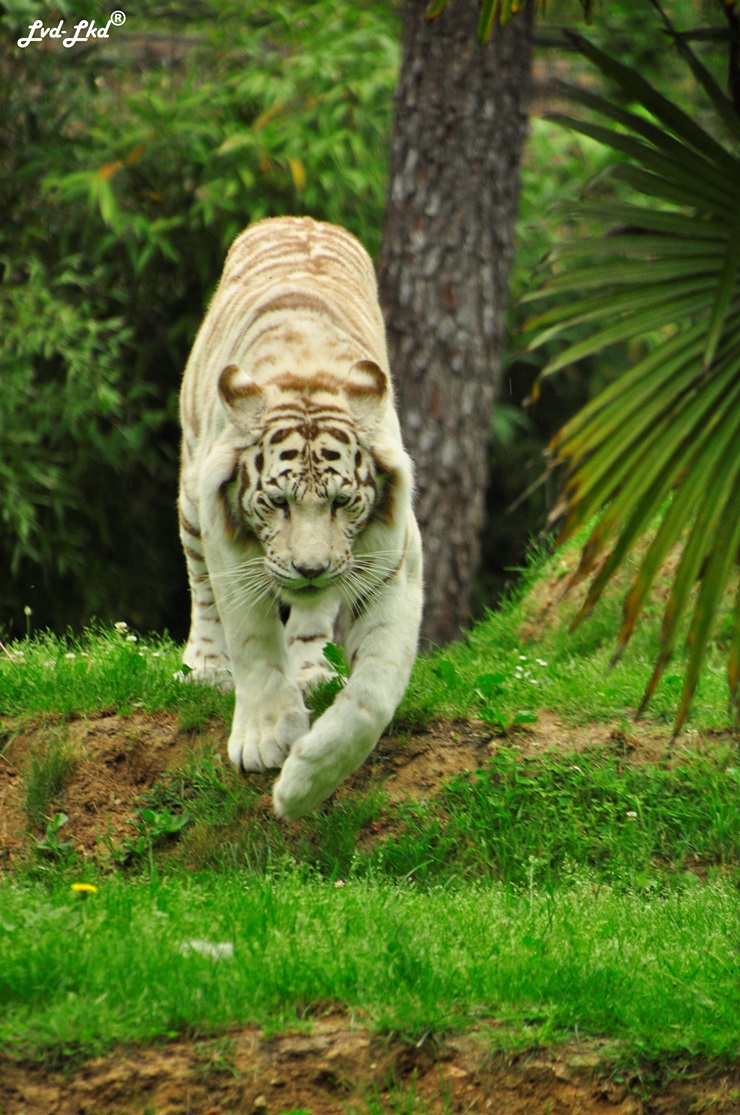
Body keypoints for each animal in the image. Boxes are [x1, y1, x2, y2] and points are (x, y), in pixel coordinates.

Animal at [178, 216, 423, 820]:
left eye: (341, 503)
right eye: (278, 503)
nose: (310, 569)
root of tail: (301, 219)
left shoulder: (392, 562)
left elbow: (373, 692)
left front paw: (302, 785)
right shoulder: (229, 547)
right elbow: (254, 643)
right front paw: (265, 739)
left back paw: (311, 669)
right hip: (192, 506)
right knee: (203, 597)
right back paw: (205, 667)